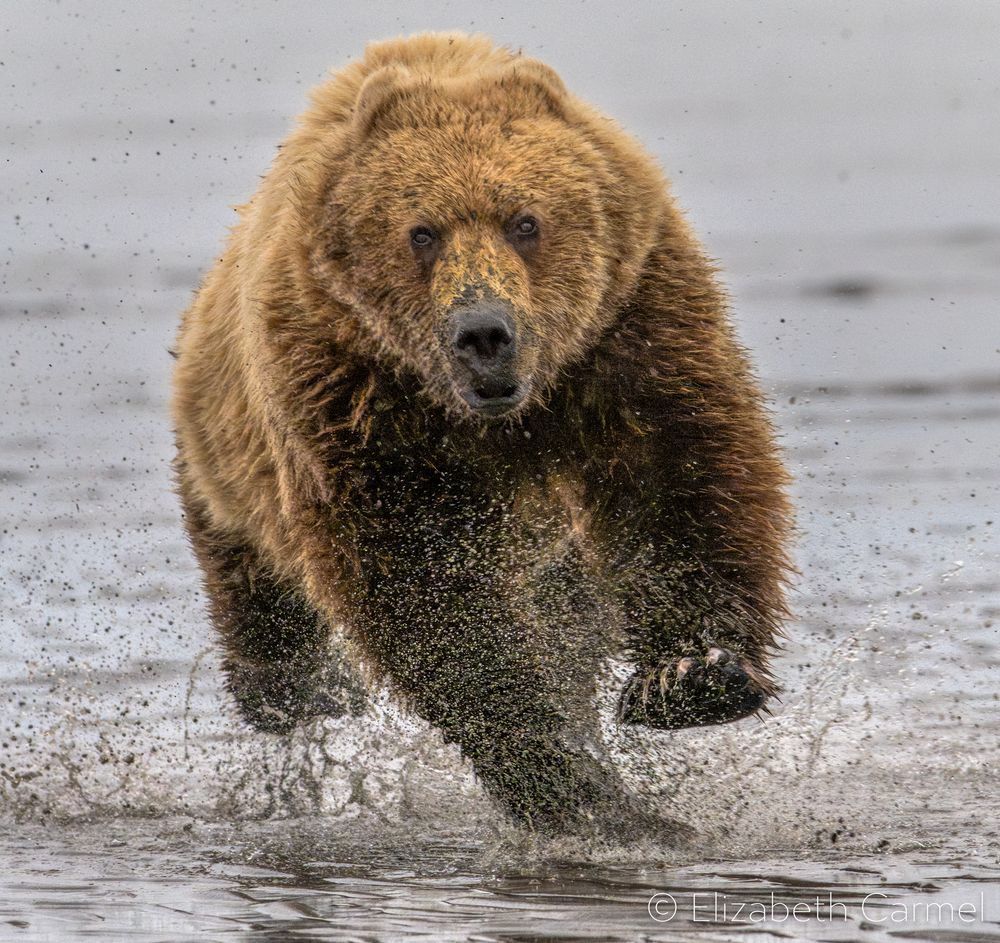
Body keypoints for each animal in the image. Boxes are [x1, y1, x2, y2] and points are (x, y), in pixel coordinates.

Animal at [171, 32, 792, 833]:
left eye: (524, 221)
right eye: (422, 232)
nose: (484, 333)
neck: (503, 421)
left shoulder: (632, 333)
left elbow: (683, 479)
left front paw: (691, 674)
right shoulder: (353, 400)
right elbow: (429, 592)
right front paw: (563, 774)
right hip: (224, 470)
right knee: (265, 611)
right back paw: (304, 692)